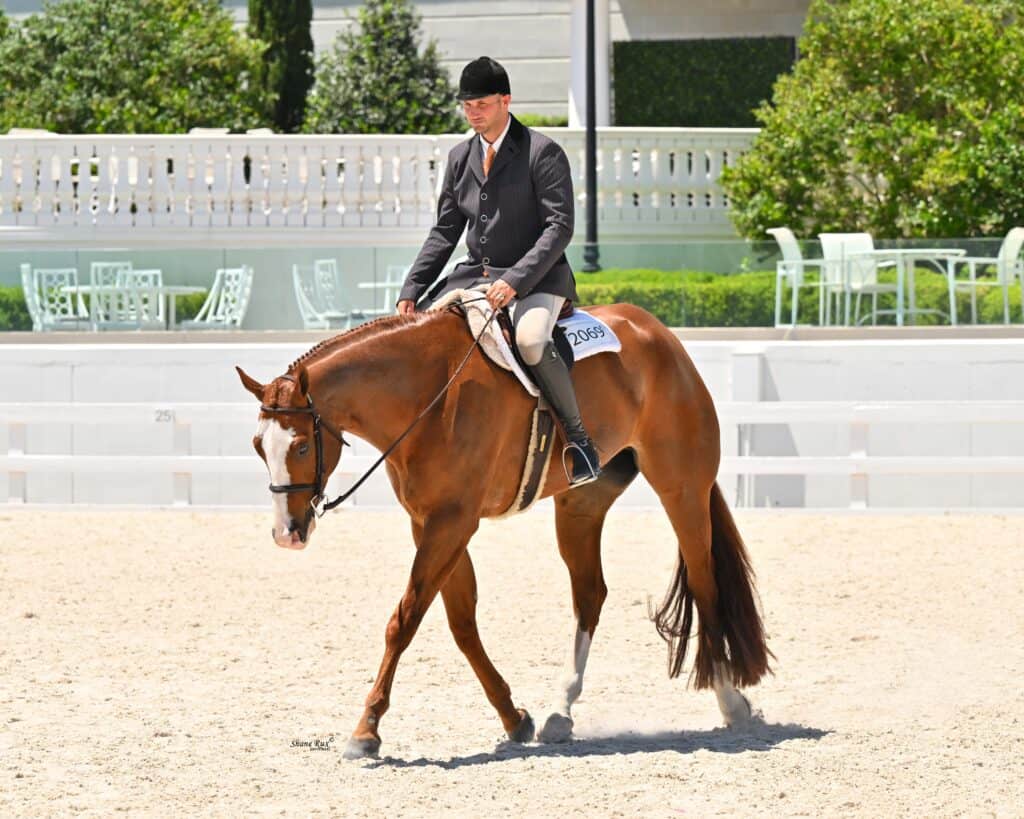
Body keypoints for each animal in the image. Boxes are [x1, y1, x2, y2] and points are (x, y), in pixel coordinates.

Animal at [236, 302, 771, 759]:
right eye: (259, 446)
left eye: (302, 446)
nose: (287, 533)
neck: (427, 394)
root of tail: (656, 330)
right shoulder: (430, 523)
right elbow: (460, 623)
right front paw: (515, 718)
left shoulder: (453, 521)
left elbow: (404, 620)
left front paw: (366, 730)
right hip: (581, 504)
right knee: (589, 594)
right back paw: (560, 712)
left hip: (682, 490)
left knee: (704, 582)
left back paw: (730, 702)